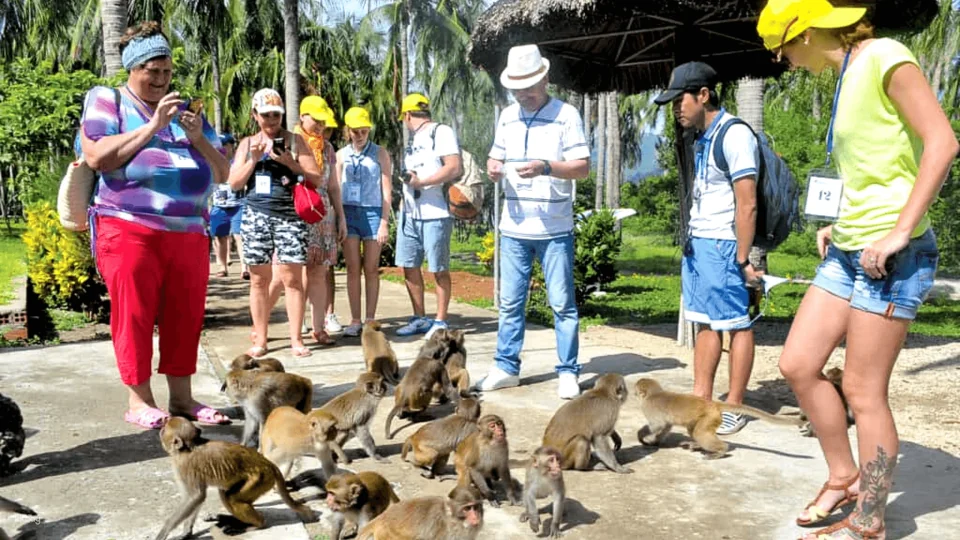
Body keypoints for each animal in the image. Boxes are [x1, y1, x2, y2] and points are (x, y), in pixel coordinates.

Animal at [154, 417, 315, 540]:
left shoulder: (184, 466)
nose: (161, 427)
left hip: (260, 478)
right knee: (226, 494)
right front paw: (186, 533)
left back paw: (256, 524)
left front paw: (164, 531)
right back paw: (231, 520)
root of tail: (269, 464)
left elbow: (195, 497)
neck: (189, 447)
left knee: (231, 497)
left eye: (164, 429)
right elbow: (198, 498)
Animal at [634, 378, 804, 459]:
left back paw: (720, 450)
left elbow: (657, 425)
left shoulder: (649, 407)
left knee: (700, 433)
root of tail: (713, 404)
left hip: (709, 417)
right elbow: (666, 426)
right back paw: (697, 445)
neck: (653, 394)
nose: (634, 392)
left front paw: (642, 435)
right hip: (709, 418)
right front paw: (656, 441)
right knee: (694, 431)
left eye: (636, 389)